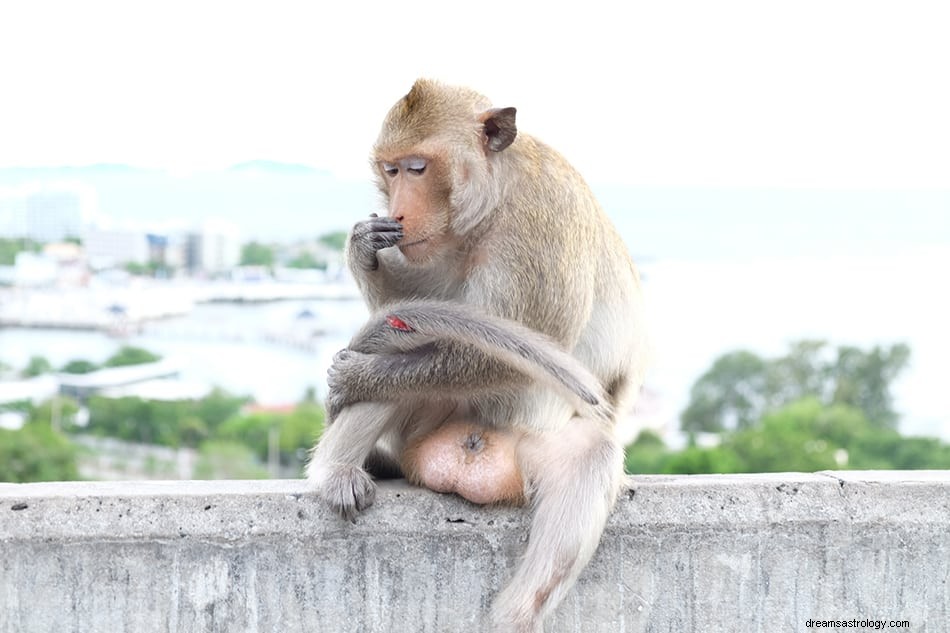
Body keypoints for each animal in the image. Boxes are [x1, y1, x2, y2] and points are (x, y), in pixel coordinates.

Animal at [308, 79, 652, 632]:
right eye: (390, 169)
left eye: (418, 168)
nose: (398, 209)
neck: (492, 204)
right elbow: (414, 314)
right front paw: (362, 247)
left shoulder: (541, 226)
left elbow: (514, 350)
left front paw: (354, 372)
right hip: (425, 430)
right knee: (404, 352)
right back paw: (336, 473)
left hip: (538, 451)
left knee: (591, 461)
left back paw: (513, 617)